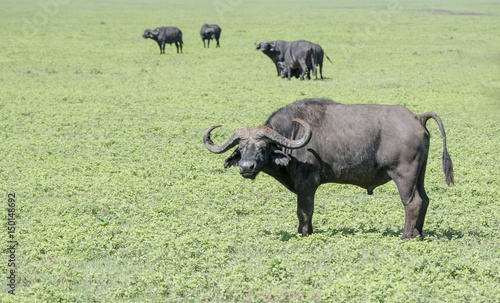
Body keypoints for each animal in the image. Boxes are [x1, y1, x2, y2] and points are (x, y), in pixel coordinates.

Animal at [205, 99, 456, 240]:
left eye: (262, 147)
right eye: (241, 147)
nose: (246, 167)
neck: (293, 137)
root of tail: (416, 117)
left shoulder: (307, 185)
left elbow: (304, 211)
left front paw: (304, 234)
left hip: (404, 176)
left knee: (412, 203)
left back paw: (405, 236)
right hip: (419, 175)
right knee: (425, 200)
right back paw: (418, 234)